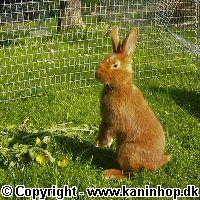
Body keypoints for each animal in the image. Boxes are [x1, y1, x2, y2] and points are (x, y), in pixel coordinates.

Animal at [95, 26, 170, 180]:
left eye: (115, 65)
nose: (97, 74)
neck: (119, 86)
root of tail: (156, 164)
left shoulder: (116, 119)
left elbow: (110, 130)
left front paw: (106, 142)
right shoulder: (105, 118)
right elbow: (102, 128)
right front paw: (98, 142)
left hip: (126, 151)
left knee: (130, 174)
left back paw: (109, 173)